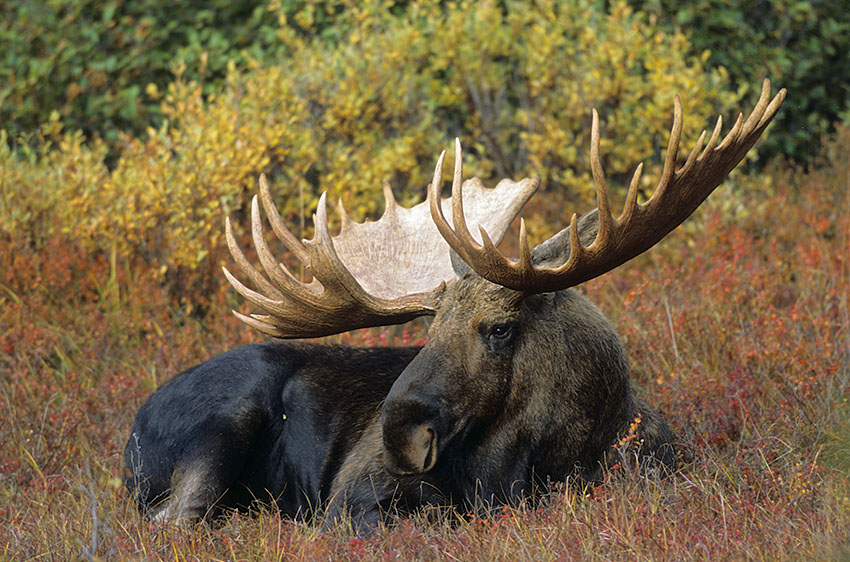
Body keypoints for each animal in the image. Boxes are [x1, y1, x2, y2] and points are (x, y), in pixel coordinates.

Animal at [124, 81, 780, 528]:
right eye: (429, 326)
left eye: (500, 328)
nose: (396, 430)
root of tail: (131, 430)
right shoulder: (354, 494)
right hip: (221, 431)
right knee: (171, 523)